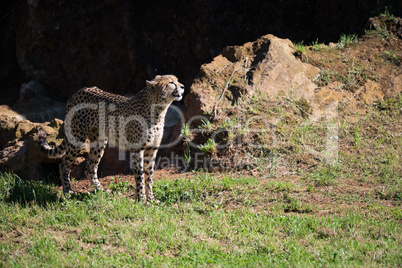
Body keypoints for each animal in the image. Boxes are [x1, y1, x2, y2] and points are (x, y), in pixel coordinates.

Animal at [39, 74, 184, 200]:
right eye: (171, 82)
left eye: (177, 80)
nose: (182, 86)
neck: (158, 110)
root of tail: (78, 91)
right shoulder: (137, 150)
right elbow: (140, 176)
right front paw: (142, 199)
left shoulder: (151, 149)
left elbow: (149, 176)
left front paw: (151, 199)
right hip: (77, 138)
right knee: (64, 163)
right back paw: (68, 191)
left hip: (99, 141)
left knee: (90, 168)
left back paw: (100, 190)